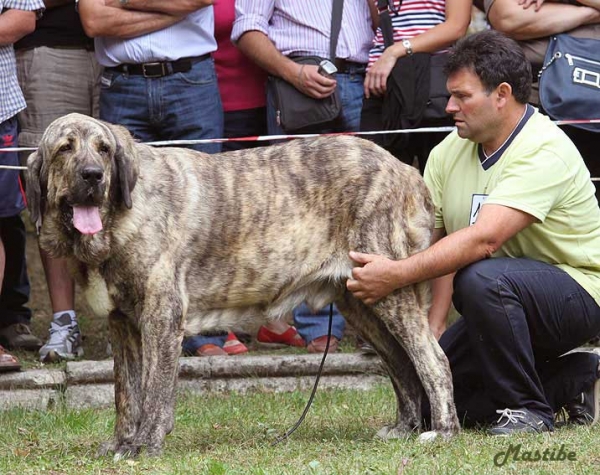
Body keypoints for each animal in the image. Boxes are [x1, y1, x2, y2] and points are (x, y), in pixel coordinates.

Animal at [27, 113, 460, 460]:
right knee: (401, 362)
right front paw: (121, 443)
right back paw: (405, 427)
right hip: (361, 301)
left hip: (389, 290)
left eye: (103, 150)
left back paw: (443, 431)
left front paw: (145, 444)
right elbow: (126, 394)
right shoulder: (122, 324)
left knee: (433, 358)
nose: (93, 176)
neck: (119, 216)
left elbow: (153, 391)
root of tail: (406, 170)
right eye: (65, 148)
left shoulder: (161, 318)